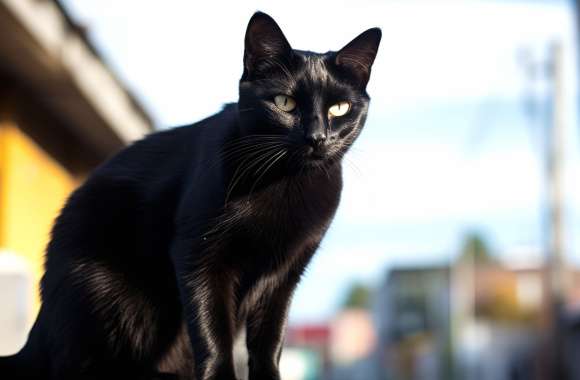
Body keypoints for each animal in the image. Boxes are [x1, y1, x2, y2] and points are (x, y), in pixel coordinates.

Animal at [0, 10, 380, 378]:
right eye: (284, 102)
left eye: (339, 108)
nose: (317, 137)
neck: (285, 183)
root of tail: (36, 337)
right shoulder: (198, 254)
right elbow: (212, 330)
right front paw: (220, 376)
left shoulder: (285, 274)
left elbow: (269, 340)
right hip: (101, 285)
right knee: (79, 364)